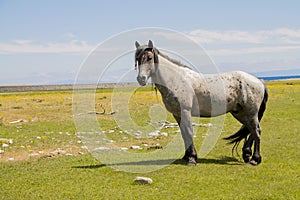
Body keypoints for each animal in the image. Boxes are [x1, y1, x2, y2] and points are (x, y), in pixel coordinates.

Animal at [135, 40, 268, 166]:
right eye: (137, 59)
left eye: (149, 58)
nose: (141, 79)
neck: (175, 79)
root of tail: (259, 81)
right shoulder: (177, 114)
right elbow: (184, 134)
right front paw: (186, 156)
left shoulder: (185, 111)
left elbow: (189, 132)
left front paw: (192, 159)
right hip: (240, 113)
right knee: (251, 130)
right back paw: (247, 154)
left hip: (250, 113)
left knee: (257, 131)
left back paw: (255, 159)